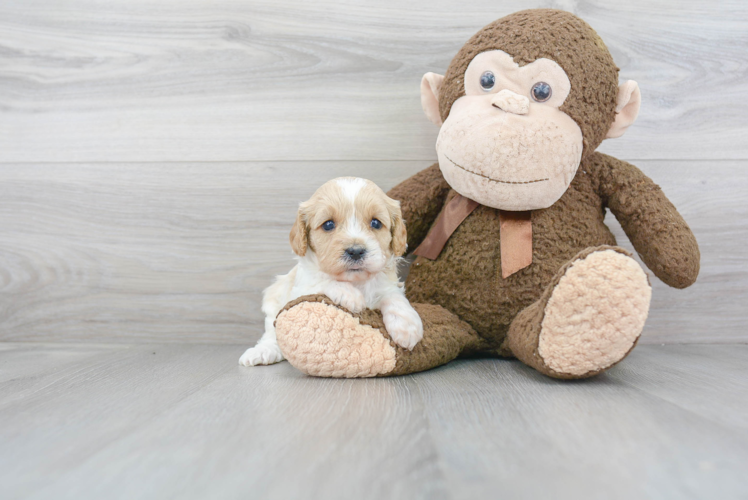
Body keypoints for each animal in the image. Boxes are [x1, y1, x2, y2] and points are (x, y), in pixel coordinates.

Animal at [241, 178, 424, 366]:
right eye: (328, 224)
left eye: (376, 223)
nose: (355, 251)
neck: (355, 280)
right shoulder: (300, 289)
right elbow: (322, 281)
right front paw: (350, 295)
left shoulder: (386, 285)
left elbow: (394, 298)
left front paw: (407, 327)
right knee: (271, 332)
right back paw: (263, 351)